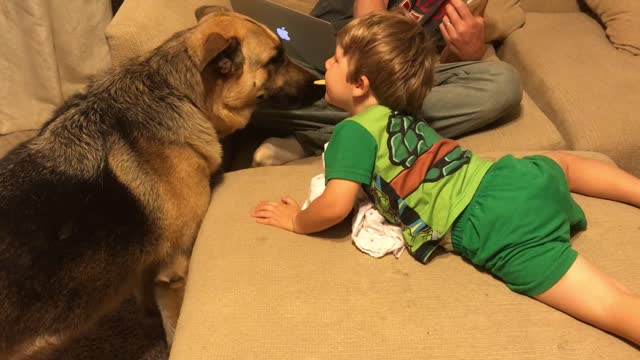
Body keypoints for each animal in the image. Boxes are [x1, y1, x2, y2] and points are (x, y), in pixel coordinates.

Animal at [0, 6, 320, 360]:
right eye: (276, 59)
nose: (321, 85)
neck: (179, 92)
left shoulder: (150, 264)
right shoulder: (174, 269)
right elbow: (173, 322)